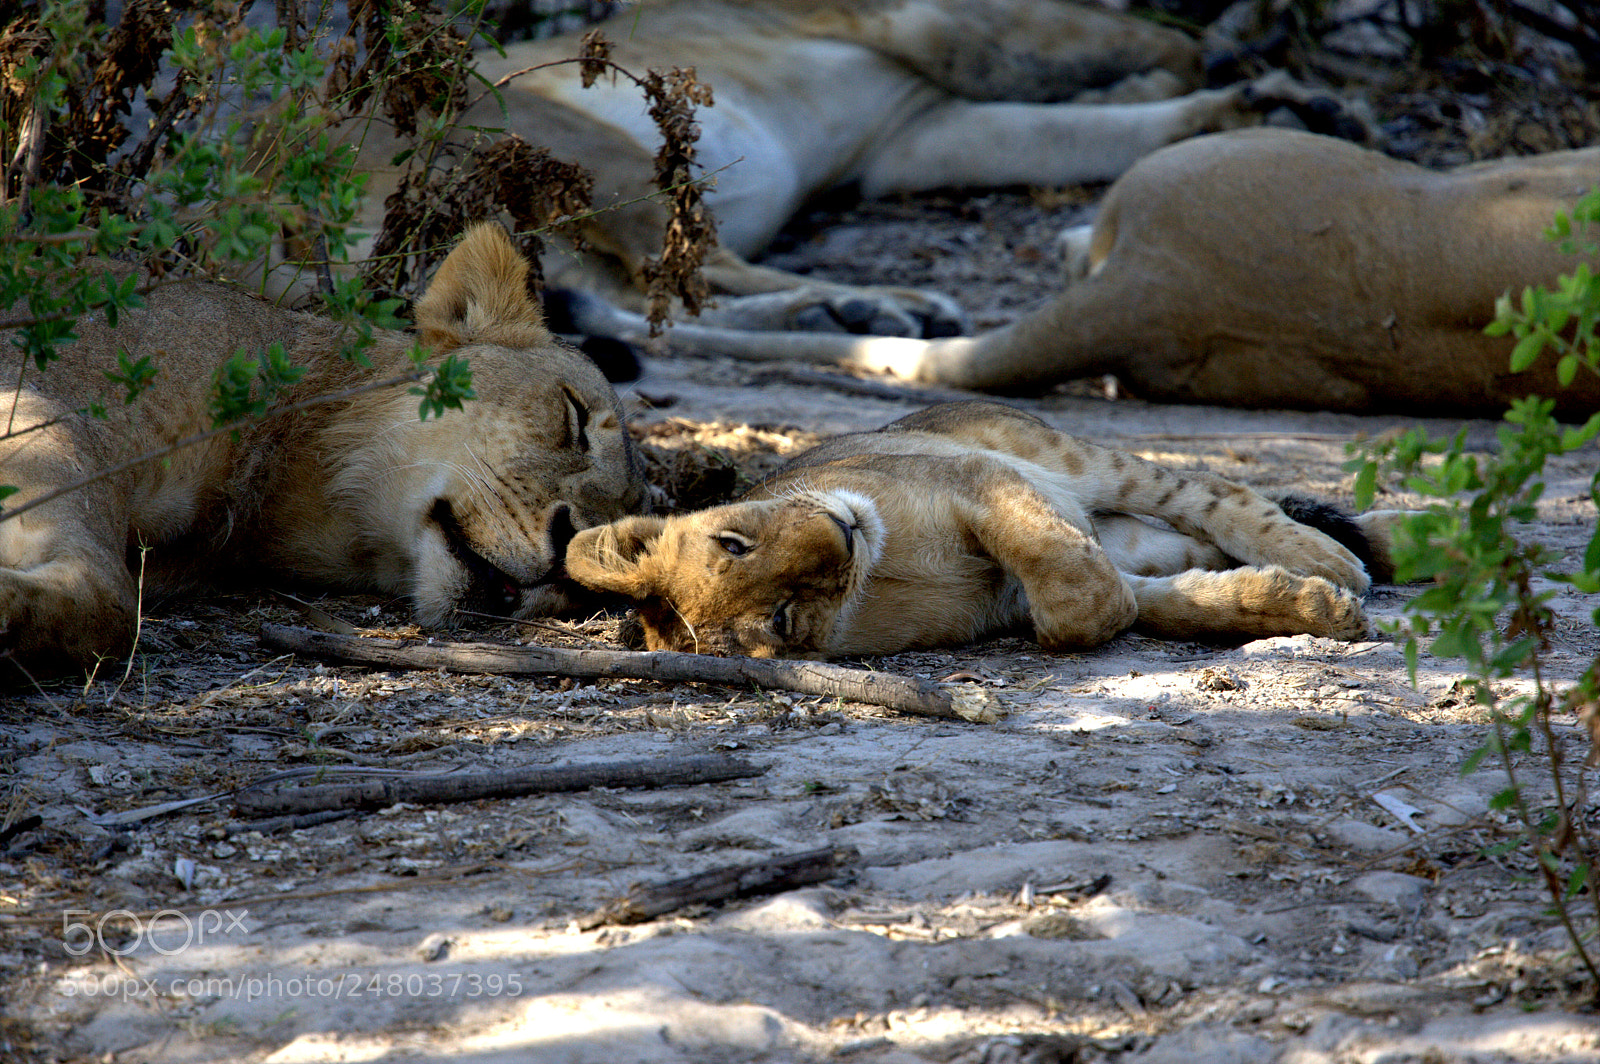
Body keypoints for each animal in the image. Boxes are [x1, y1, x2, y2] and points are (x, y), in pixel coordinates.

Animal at [344, 0, 1365, 338]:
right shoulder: (932, 25)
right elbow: (1141, 45)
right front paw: (1270, 83)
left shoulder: (917, 130)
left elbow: (1087, 126)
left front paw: (1264, 104)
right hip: (586, 151)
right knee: (690, 270)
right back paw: (887, 307)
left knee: (649, 300)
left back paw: (850, 314)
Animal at [565, 401, 1406, 659]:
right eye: (781, 619)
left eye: (733, 540)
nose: (839, 535)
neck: (880, 567)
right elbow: (1113, 605)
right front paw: (1306, 608)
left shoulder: (974, 476)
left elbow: (1059, 572)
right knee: (1191, 538)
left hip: (1055, 450)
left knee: (1215, 491)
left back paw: (1330, 554)